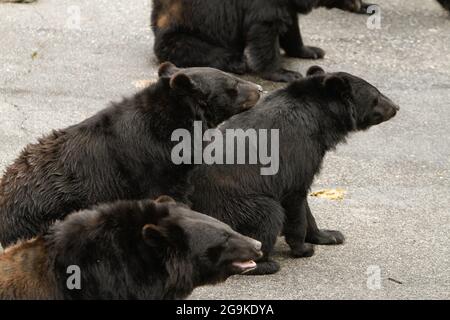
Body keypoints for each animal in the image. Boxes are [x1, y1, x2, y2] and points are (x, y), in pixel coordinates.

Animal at [153, 0, 374, 82]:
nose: (361, 5)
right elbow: (265, 27)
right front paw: (285, 73)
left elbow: (291, 24)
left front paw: (310, 50)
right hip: (182, 32)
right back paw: (237, 62)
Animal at [188, 65, 400, 276]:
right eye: (376, 95)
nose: (396, 107)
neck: (320, 119)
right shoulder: (297, 152)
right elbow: (296, 197)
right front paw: (304, 248)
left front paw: (330, 235)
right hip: (237, 205)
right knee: (268, 215)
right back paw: (265, 264)